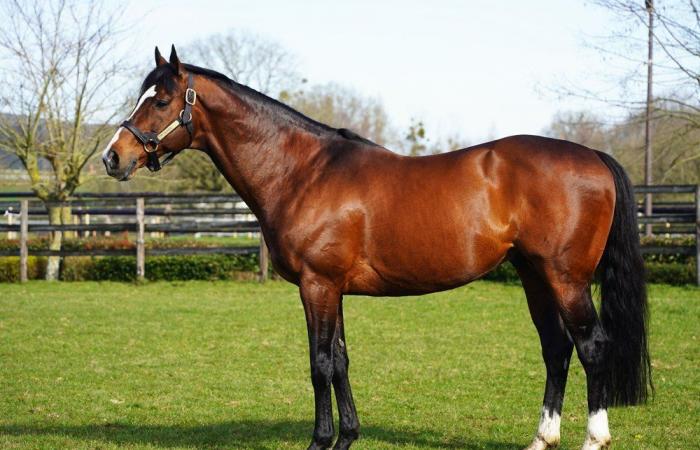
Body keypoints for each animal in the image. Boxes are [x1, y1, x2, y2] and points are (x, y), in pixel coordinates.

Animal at [102, 45, 652, 450]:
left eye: (160, 100)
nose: (112, 157)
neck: (303, 173)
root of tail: (594, 157)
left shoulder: (317, 286)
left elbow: (320, 364)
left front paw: (320, 441)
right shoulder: (333, 289)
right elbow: (341, 361)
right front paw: (347, 437)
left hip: (566, 278)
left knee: (592, 347)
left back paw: (593, 439)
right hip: (534, 275)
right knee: (556, 349)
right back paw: (542, 439)